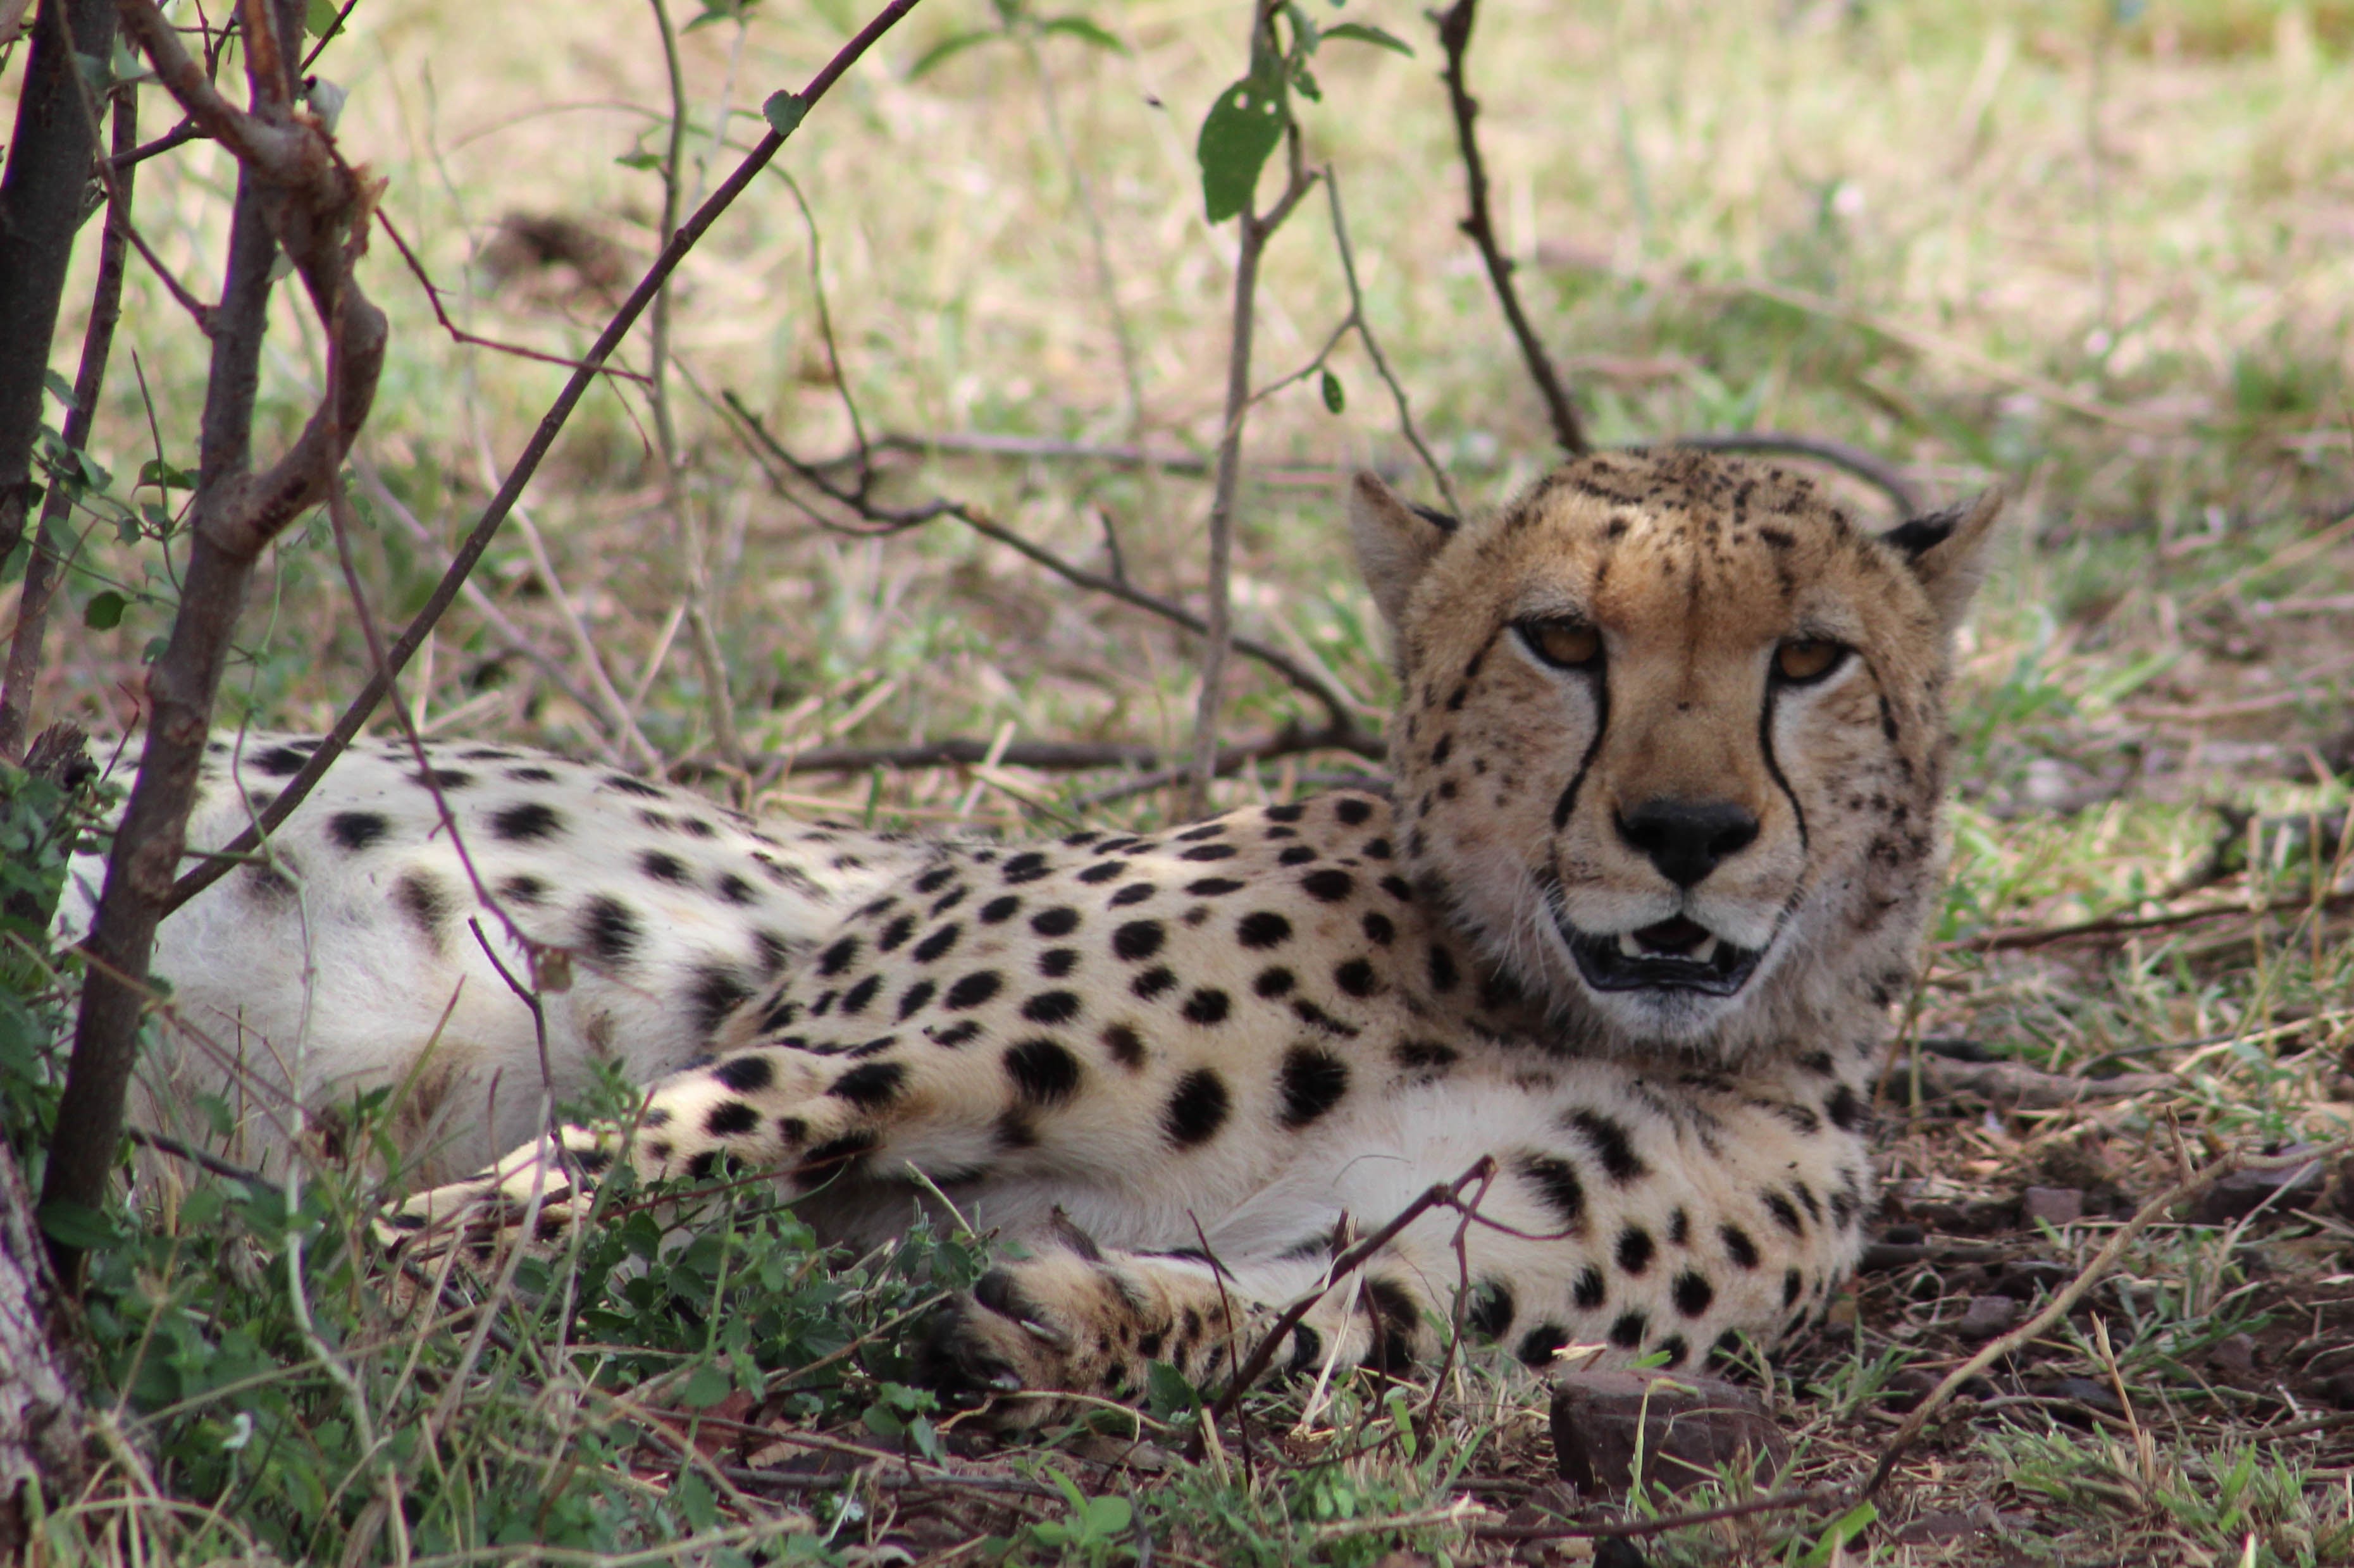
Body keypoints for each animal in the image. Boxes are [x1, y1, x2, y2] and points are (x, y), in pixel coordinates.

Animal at [64, 449, 1996, 1412]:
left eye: (1809, 658)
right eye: (1562, 640)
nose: (1687, 835)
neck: (1540, 995)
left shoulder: (1478, 1271)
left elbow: (1318, 1322)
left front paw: (1070, 1319)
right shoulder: (839, 1035)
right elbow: (630, 1150)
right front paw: (342, 1282)